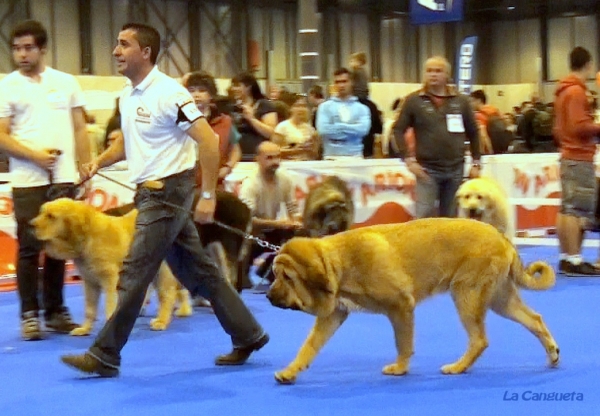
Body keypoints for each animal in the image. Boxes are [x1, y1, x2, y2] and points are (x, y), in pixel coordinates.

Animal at [28, 197, 186, 334]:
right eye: (41, 212)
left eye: (51, 216)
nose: (31, 225)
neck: (88, 236)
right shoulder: (90, 282)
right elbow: (89, 309)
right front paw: (85, 329)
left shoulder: (110, 279)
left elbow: (110, 304)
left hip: (162, 272)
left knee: (167, 295)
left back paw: (162, 320)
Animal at [268, 219, 556, 386]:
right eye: (275, 274)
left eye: (287, 277)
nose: (269, 296)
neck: (339, 263)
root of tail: (502, 237)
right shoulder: (333, 315)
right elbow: (309, 347)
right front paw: (291, 371)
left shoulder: (400, 306)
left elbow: (403, 342)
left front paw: (400, 368)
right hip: (499, 298)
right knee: (535, 320)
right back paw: (553, 354)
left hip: (467, 294)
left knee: (479, 339)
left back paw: (458, 367)